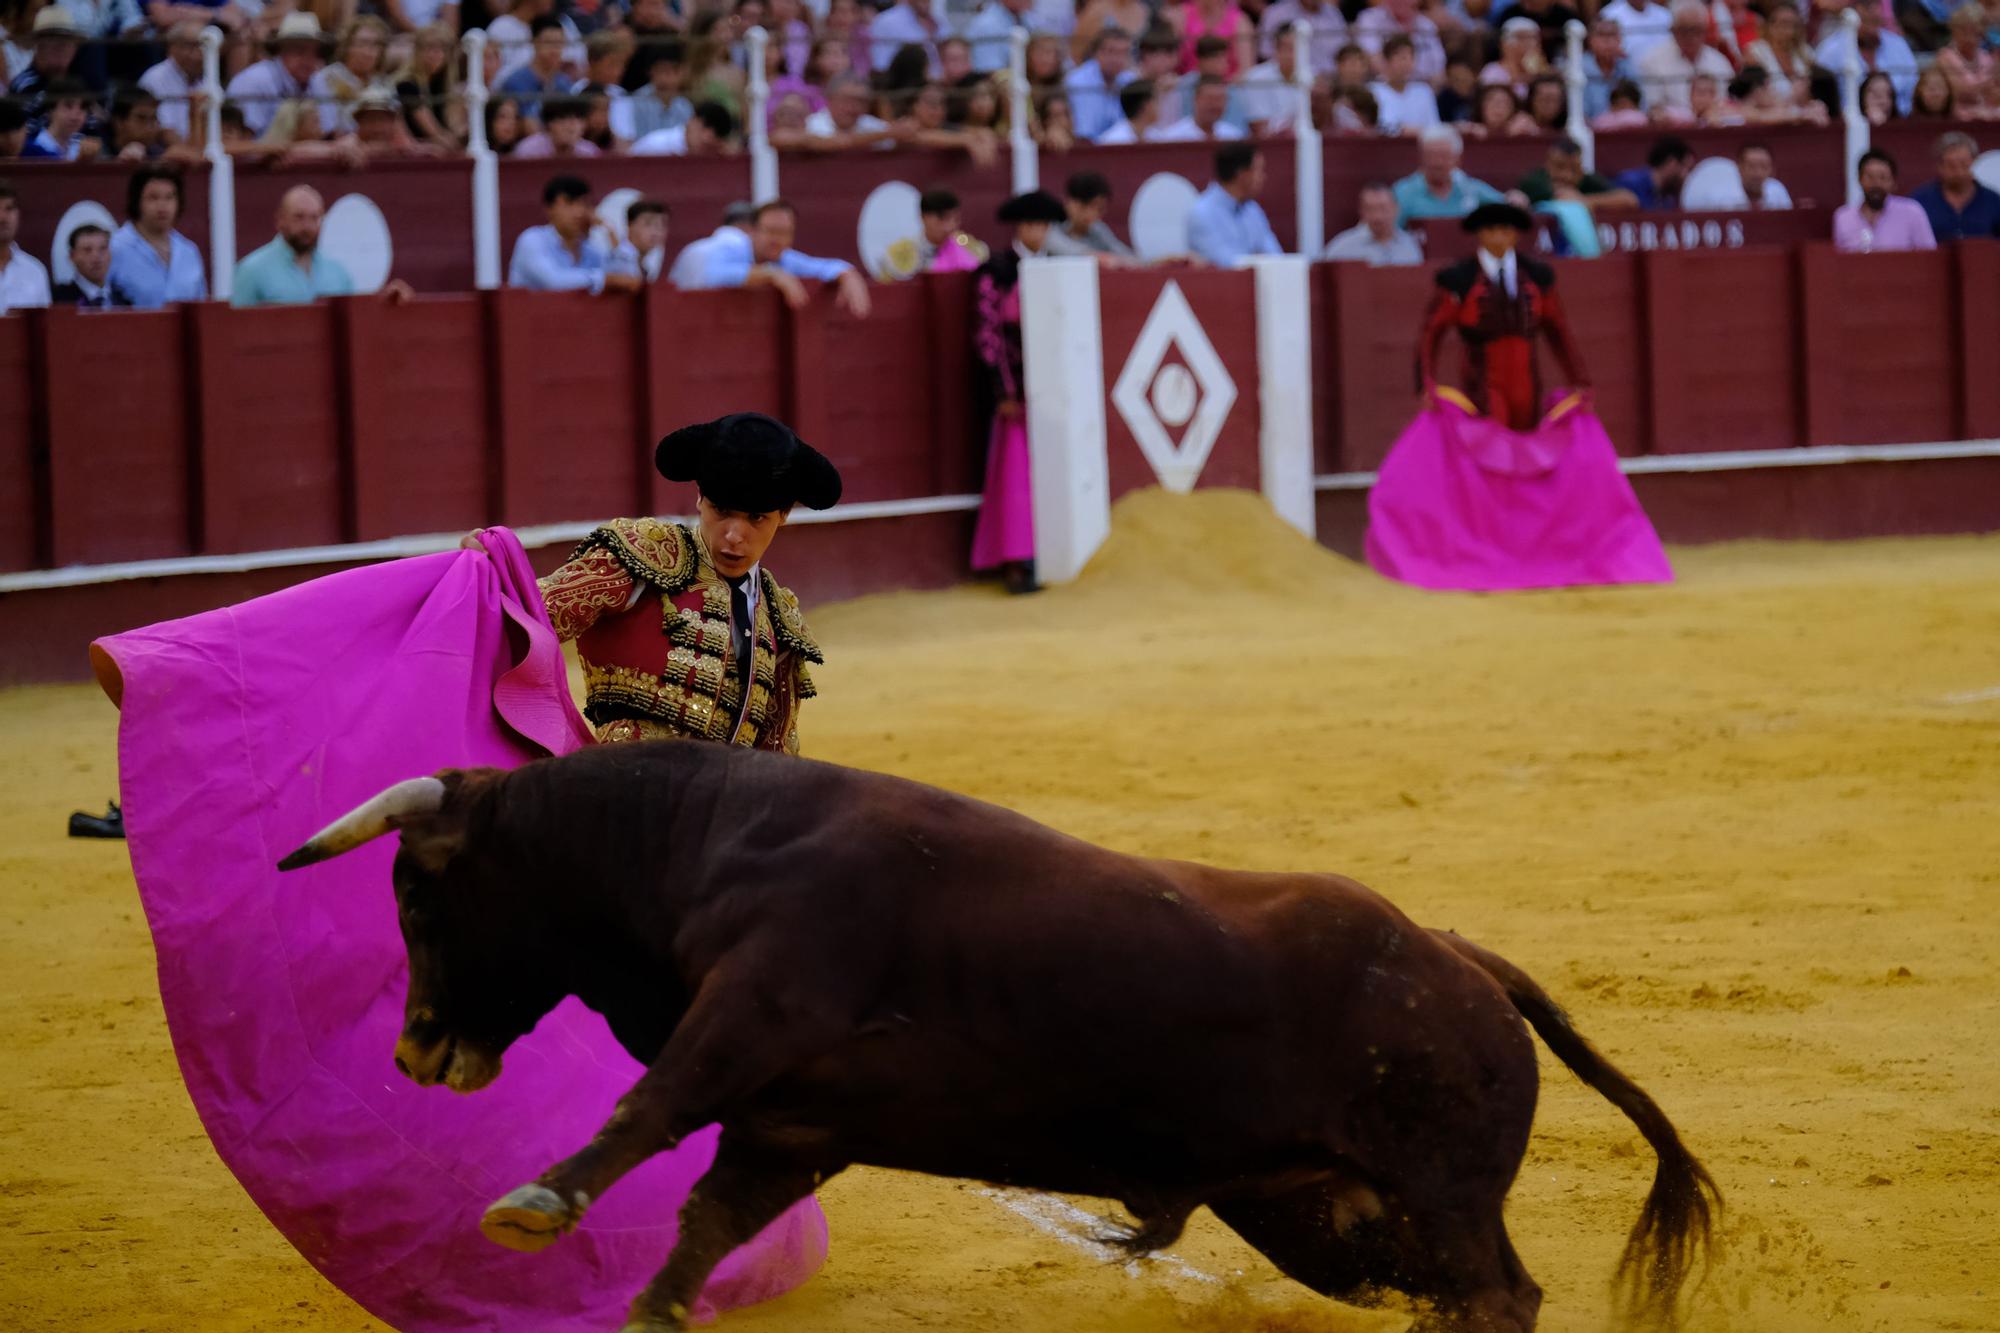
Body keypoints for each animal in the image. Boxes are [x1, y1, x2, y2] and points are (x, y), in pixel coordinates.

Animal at [278, 740, 1720, 1320]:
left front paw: (533, 1204)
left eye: (418, 892)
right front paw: (649, 1312)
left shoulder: (753, 1013)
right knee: (1465, 1296)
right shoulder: (791, 1123)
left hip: (1436, 1189)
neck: (703, 846)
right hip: (1330, 1213)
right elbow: (698, 1234)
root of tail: (1459, 956)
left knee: (1496, 1295)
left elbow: (646, 1109)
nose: (413, 1051)